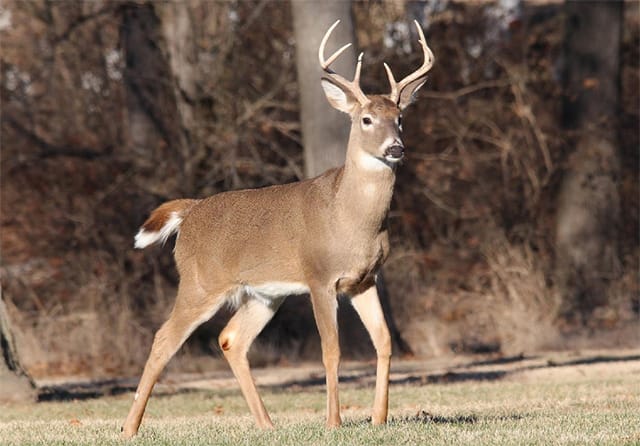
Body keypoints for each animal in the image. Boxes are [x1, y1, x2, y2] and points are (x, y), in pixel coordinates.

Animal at [122, 19, 434, 438]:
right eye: (365, 119)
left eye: (400, 118)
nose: (396, 148)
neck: (353, 220)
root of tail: (189, 212)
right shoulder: (319, 277)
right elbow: (331, 350)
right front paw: (334, 422)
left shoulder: (365, 279)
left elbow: (383, 342)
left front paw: (378, 418)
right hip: (200, 283)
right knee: (163, 339)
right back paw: (129, 428)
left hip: (264, 294)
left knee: (231, 338)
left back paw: (266, 424)